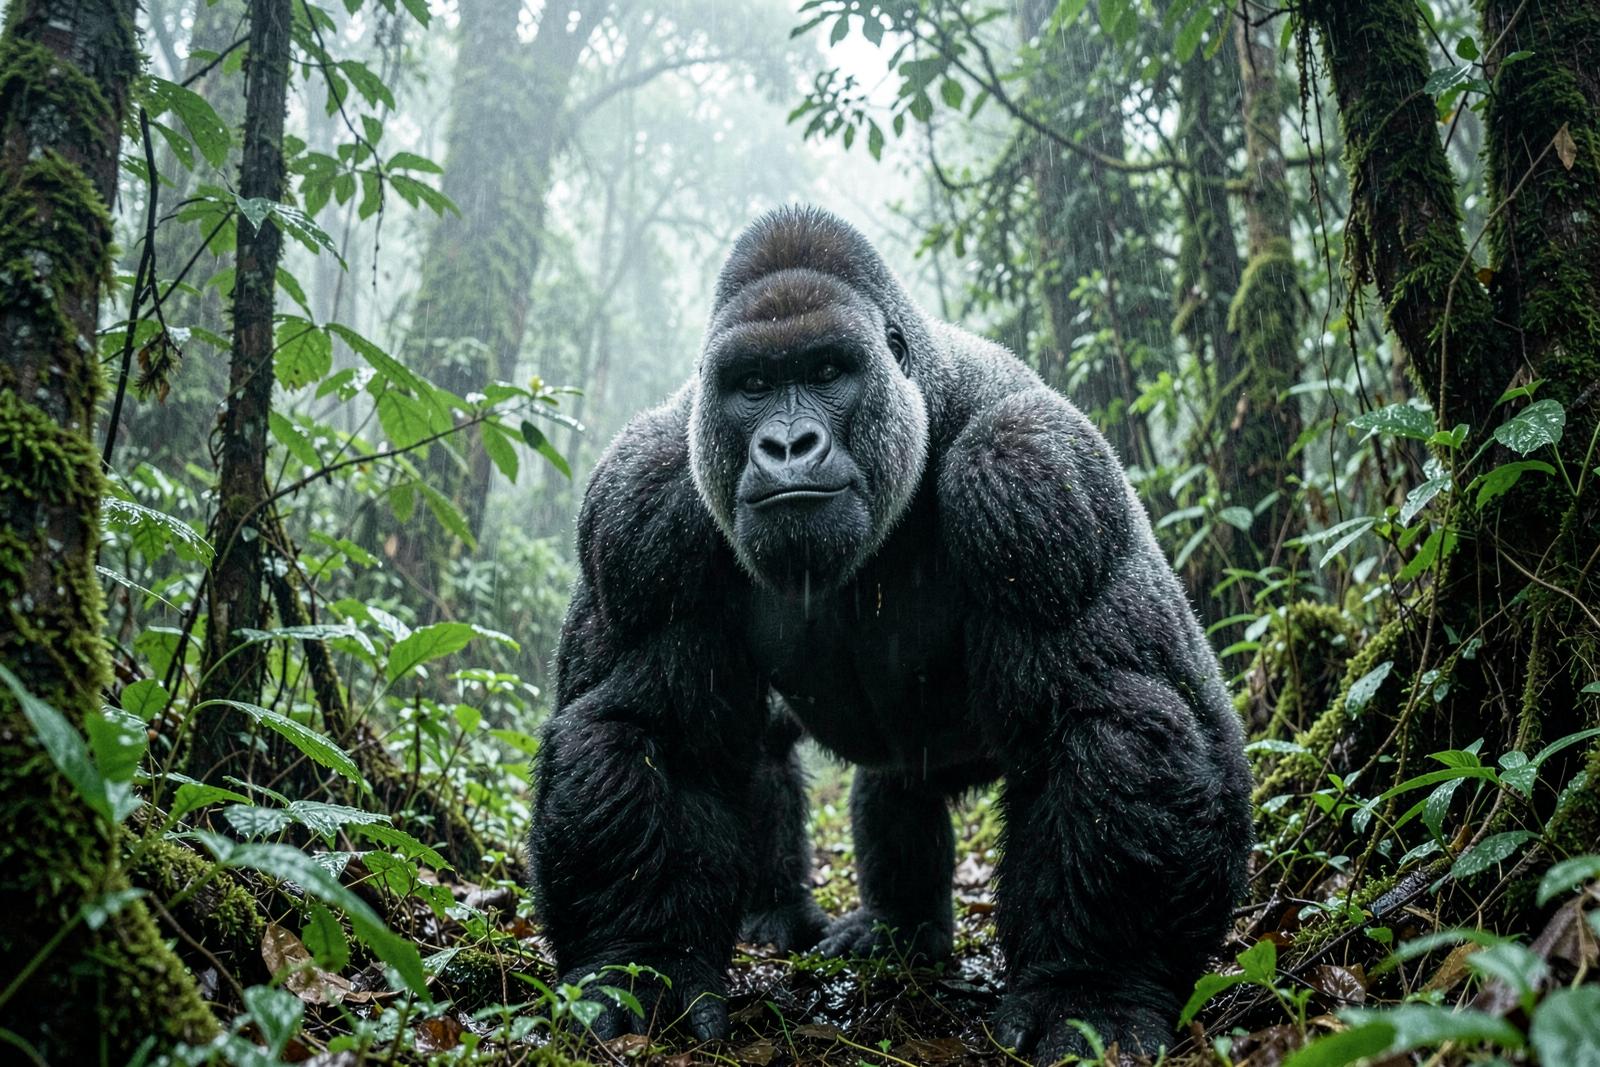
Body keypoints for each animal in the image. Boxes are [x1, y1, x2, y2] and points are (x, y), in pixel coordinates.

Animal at [529, 206, 1252, 1060]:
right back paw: (833, 919)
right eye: (753, 385)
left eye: (828, 370)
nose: (787, 445)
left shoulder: (1036, 471)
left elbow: (1114, 712)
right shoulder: (641, 501)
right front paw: (643, 962)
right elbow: (650, 731)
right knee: (812, 760)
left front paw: (1093, 986)